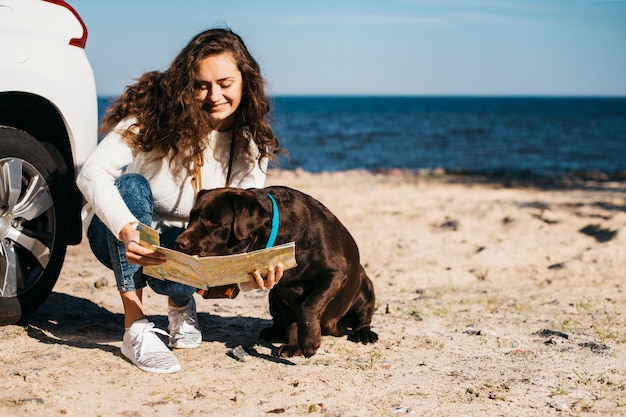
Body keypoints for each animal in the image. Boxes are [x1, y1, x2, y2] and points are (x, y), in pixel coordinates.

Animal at [174, 187, 376, 356]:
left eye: (214, 221)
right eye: (192, 218)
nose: (179, 242)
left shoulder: (334, 274)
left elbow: (309, 306)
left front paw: (309, 342)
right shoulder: (281, 292)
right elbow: (291, 323)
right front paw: (293, 345)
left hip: (365, 288)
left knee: (362, 320)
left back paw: (365, 334)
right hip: (272, 300)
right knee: (280, 323)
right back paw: (273, 332)